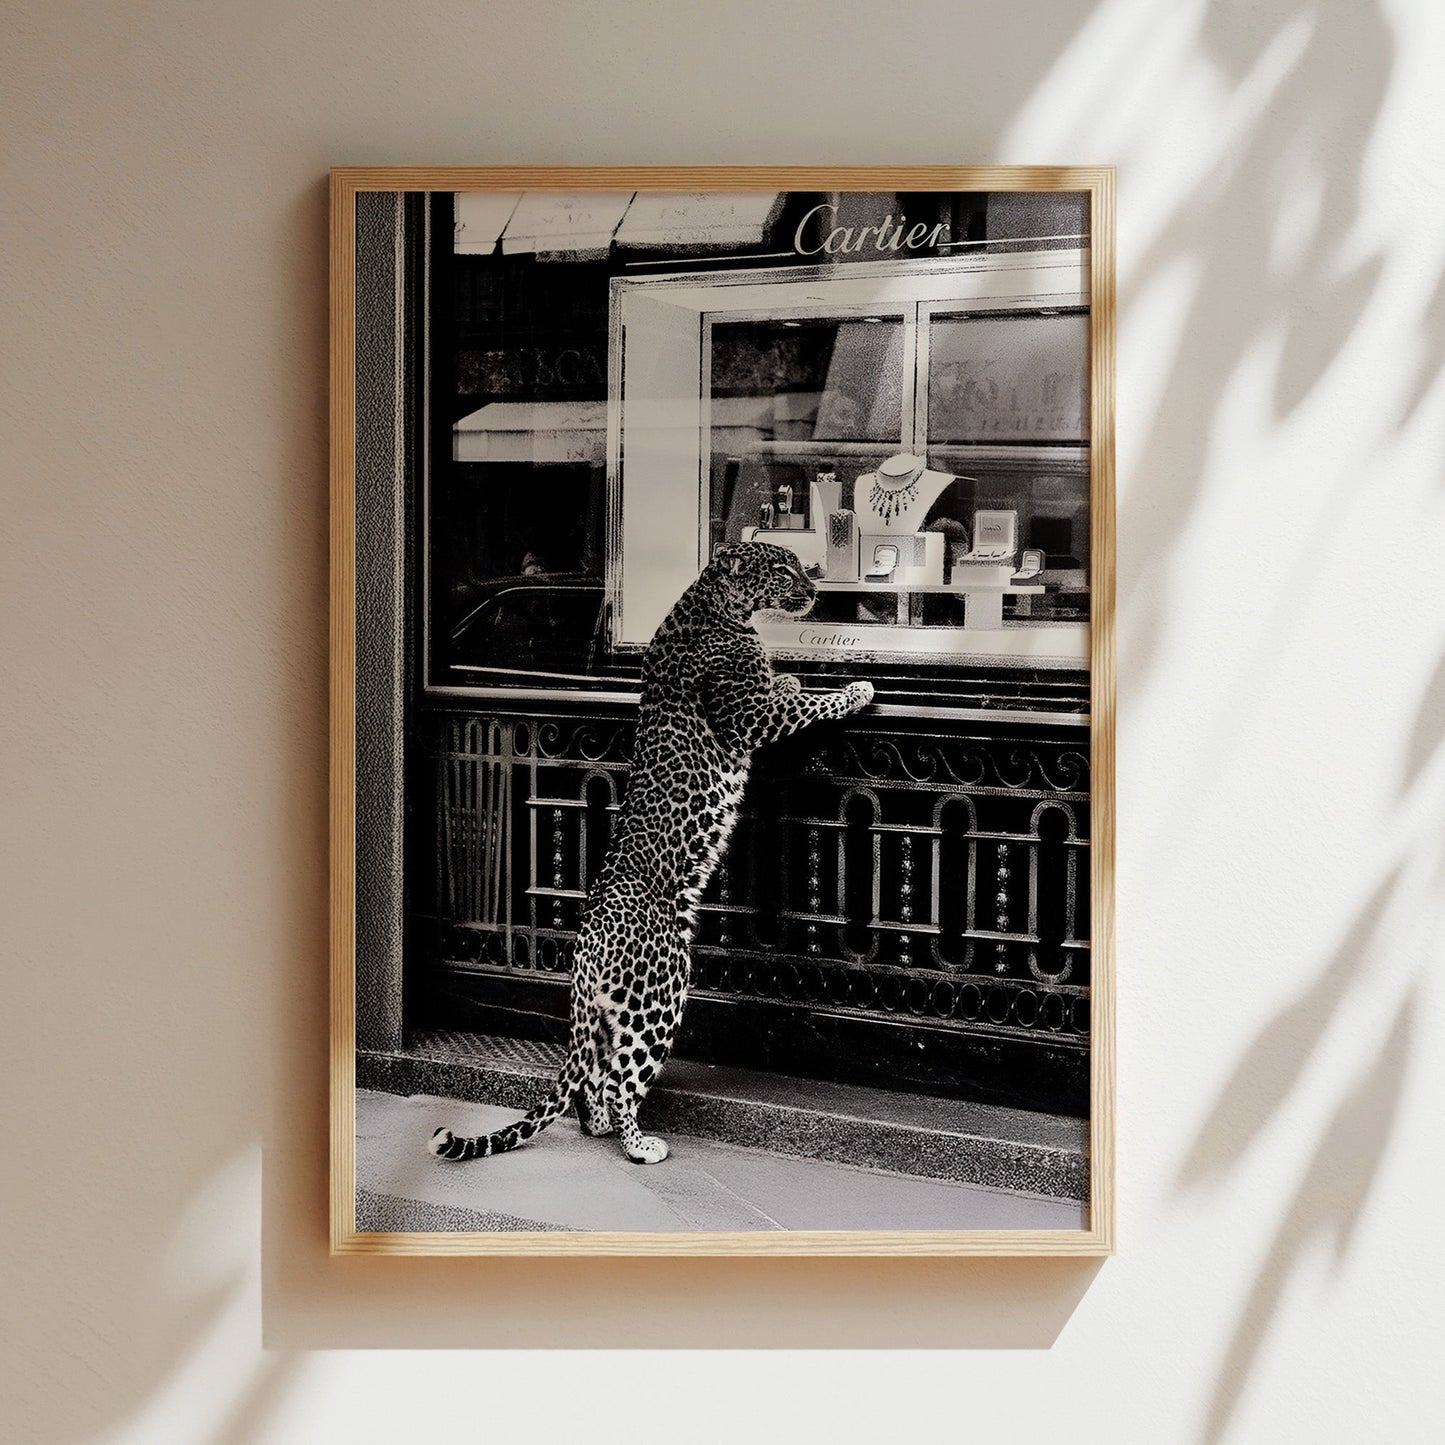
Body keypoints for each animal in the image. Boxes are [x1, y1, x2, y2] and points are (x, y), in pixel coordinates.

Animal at [428, 540, 874, 1165]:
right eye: (784, 569)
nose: (813, 592)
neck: (719, 605)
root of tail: (585, 950)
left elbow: (784, 689)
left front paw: (787, 676)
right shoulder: (750, 718)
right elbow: (813, 704)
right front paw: (854, 691)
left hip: (608, 1014)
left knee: (593, 1075)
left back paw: (598, 1126)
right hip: (657, 998)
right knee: (620, 1079)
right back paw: (639, 1145)